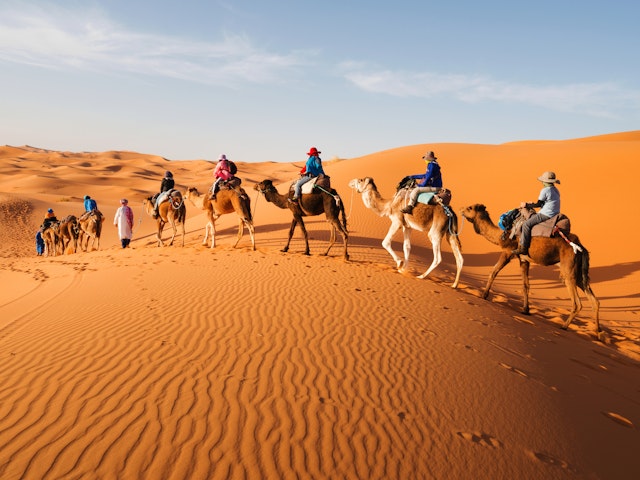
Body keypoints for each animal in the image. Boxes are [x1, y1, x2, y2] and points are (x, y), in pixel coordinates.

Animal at [460, 203, 601, 335]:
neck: (502, 235)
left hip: (568, 269)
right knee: (594, 300)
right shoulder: (524, 259)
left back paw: (564, 326)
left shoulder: (508, 252)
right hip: (578, 272)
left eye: (470, 208)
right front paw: (525, 310)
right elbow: (525, 285)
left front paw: (484, 295)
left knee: (577, 303)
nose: (461, 209)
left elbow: (493, 272)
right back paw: (598, 332)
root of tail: (581, 247)